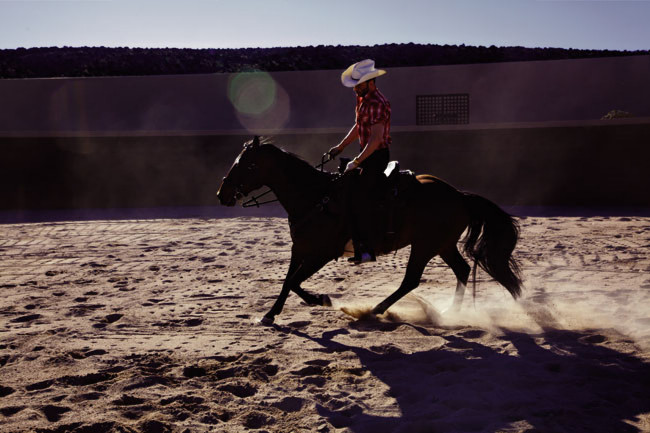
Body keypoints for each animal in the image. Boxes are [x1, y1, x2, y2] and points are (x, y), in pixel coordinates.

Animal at [218, 137, 520, 322]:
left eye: (246, 164)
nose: (222, 195)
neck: (315, 196)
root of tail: (459, 195)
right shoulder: (300, 248)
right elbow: (288, 281)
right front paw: (274, 312)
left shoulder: (322, 253)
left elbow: (294, 281)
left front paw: (318, 299)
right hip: (442, 245)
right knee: (462, 269)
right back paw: (450, 311)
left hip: (424, 246)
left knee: (412, 280)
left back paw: (375, 310)